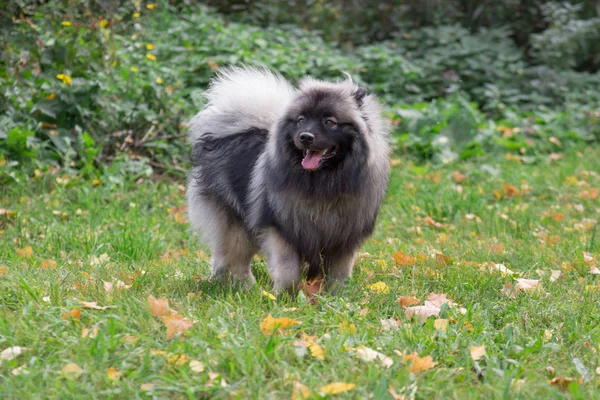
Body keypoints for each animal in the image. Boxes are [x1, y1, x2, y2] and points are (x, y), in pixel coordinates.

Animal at [186, 66, 390, 294]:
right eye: (301, 120)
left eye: (329, 122)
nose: (305, 137)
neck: (321, 182)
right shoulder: (283, 230)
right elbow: (287, 269)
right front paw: (283, 295)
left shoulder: (343, 238)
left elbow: (339, 273)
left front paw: (335, 295)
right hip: (236, 223)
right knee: (236, 259)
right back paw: (246, 287)